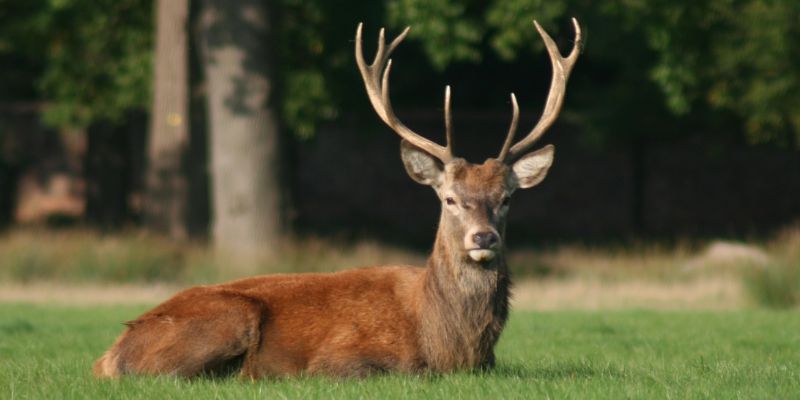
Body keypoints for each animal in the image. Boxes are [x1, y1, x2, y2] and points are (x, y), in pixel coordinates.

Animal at [93, 18, 581, 379]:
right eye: (449, 198)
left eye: (507, 198)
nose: (483, 238)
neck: (449, 345)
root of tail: (108, 355)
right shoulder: (342, 358)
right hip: (228, 317)